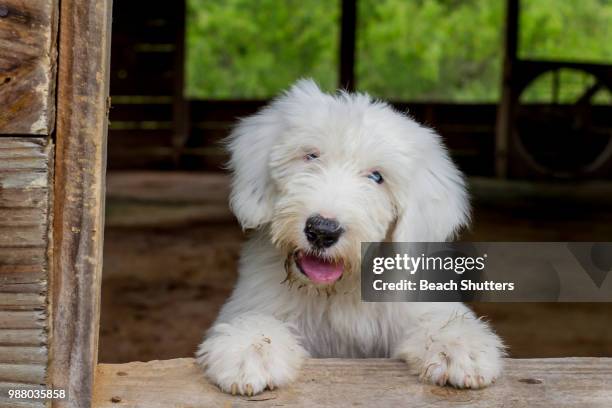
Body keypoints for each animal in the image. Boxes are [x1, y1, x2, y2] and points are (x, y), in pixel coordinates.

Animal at [198, 79, 504, 396]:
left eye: (377, 177)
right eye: (311, 156)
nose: (322, 230)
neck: (340, 290)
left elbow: (440, 319)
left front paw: (460, 349)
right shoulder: (259, 299)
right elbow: (257, 318)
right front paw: (248, 350)